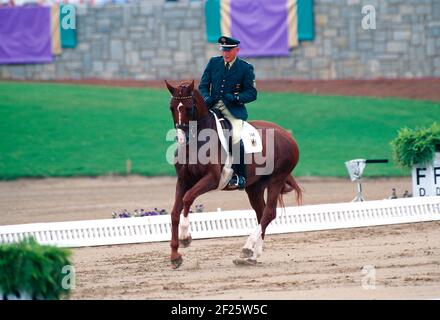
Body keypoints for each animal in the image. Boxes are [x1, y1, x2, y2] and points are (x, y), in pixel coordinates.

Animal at [166, 80, 302, 268]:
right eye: (171, 107)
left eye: (189, 108)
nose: (181, 138)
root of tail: (288, 136)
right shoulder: (183, 180)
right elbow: (174, 213)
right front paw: (175, 256)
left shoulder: (212, 179)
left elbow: (187, 198)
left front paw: (185, 237)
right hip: (255, 186)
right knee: (261, 213)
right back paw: (252, 256)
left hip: (277, 179)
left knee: (269, 213)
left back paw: (247, 248)